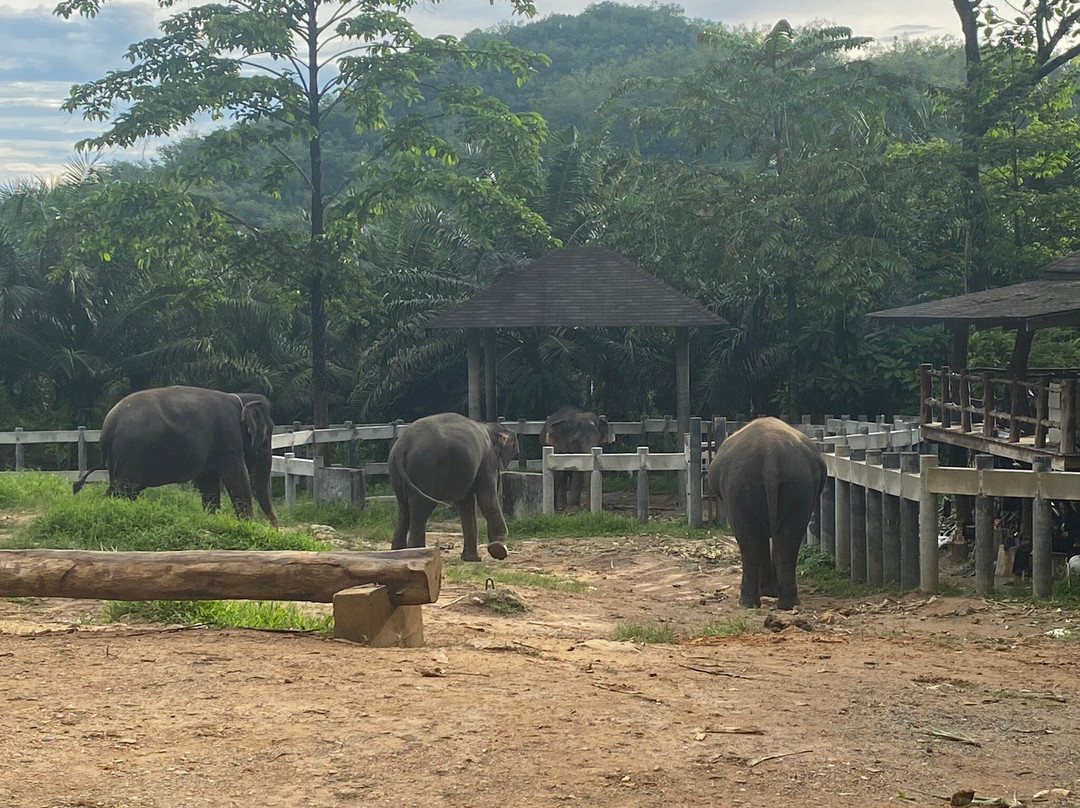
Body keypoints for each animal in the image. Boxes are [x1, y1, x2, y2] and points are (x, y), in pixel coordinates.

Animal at [73, 385, 278, 527]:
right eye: (267, 436)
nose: (275, 528)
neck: (240, 398)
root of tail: (108, 425)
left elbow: (209, 483)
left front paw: (212, 519)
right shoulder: (229, 441)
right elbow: (237, 478)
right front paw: (248, 525)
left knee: (119, 490)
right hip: (131, 454)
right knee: (122, 490)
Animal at [389, 412, 519, 562]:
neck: (488, 427)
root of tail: (403, 445)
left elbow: (467, 504)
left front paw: (471, 559)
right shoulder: (487, 460)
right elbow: (487, 499)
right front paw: (499, 549)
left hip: (396, 471)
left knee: (404, 509)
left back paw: (398, 554)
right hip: (426, 469)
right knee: (420, 510)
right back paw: (418, 553)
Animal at [707, 417, 825, 610]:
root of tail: (771, 456)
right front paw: (770, 592)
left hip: (739, 486)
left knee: (749, 540)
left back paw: (747, 603)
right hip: (798, 485)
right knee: (788, 539)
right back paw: (786, 604)